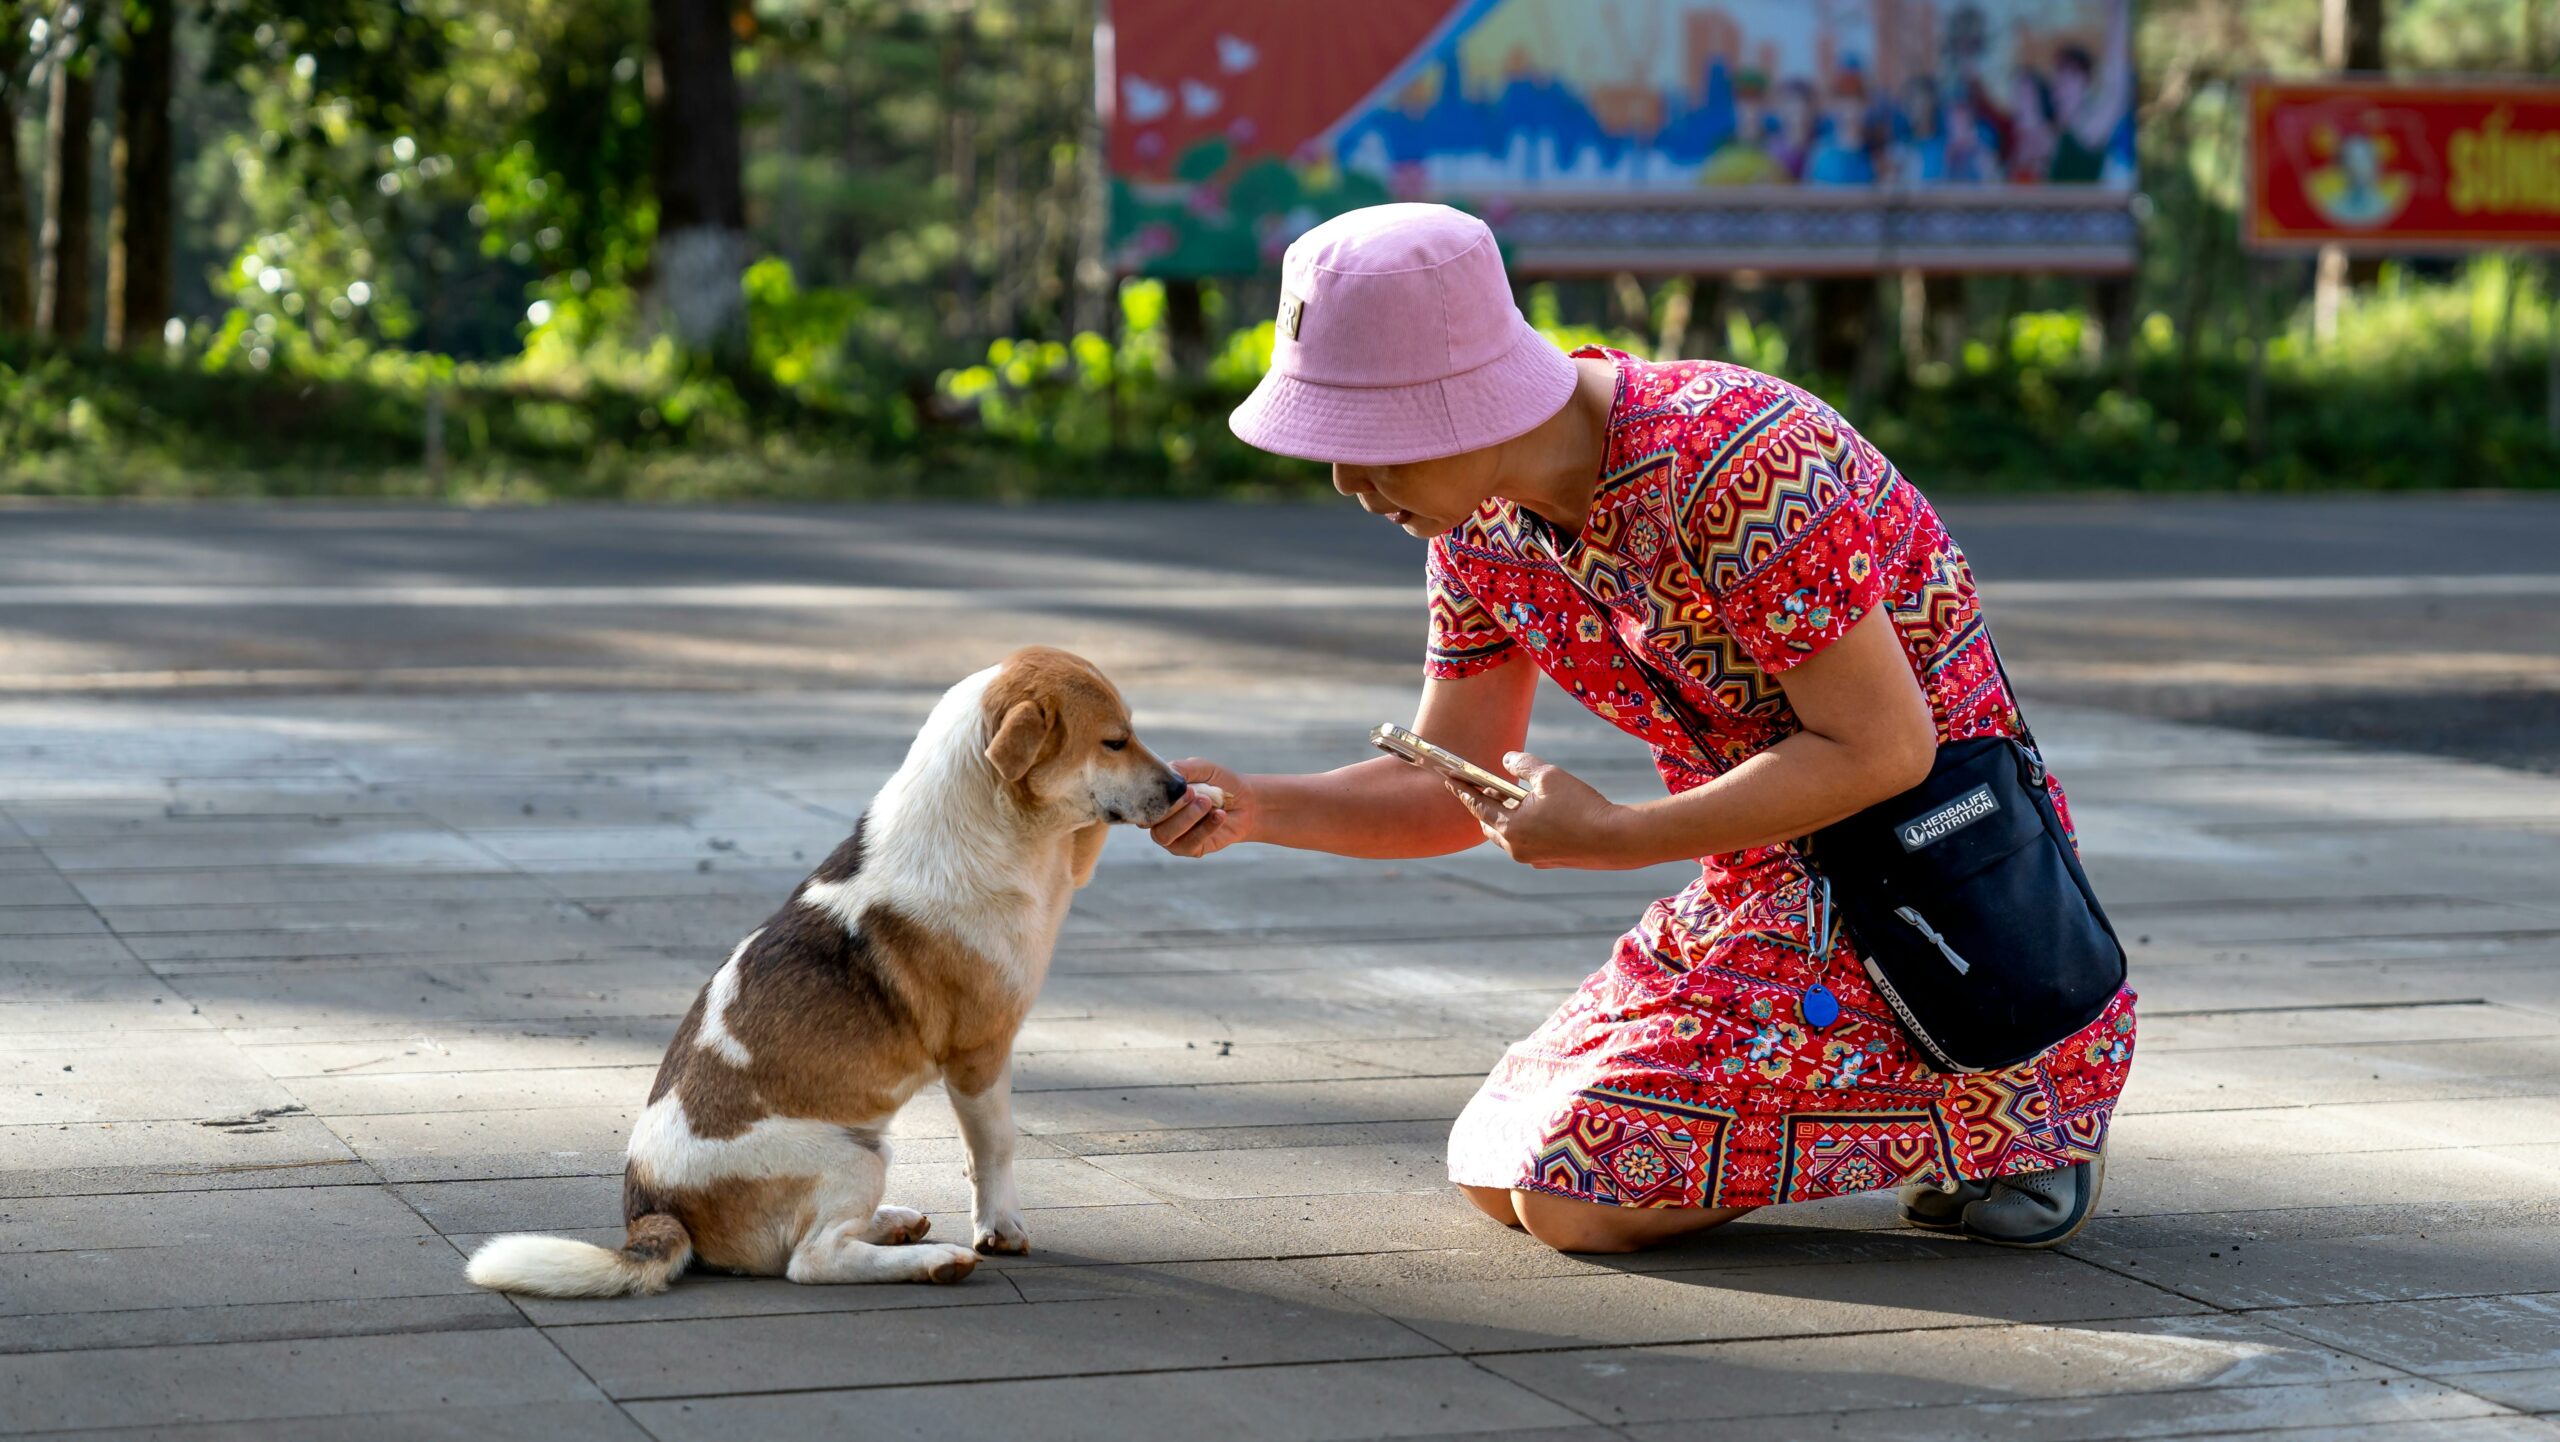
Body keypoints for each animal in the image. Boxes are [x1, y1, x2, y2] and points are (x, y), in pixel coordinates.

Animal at [463, 648, 1198, 1290]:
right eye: (1114, 741)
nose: (1181, 786)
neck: (991, 827)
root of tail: (652, 1211)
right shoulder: (979, 1054)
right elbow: (995, 1148)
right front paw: (1001, 1228)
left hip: (864, 1148)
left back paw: (897, 1225)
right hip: (853, 1154)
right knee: (813, 1260)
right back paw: (934, 1261)